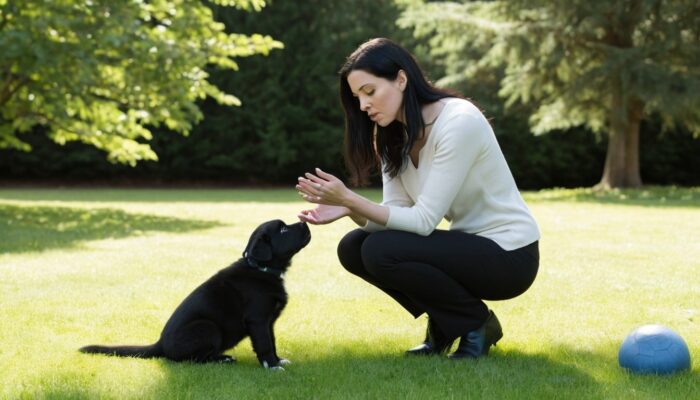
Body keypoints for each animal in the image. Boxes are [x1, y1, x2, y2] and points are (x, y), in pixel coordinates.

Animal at [80, 219, 312, 368]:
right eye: (282, 230)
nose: (304, 222)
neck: (260, 269)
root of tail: (160, 344)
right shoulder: (258, 319)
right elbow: (264, 345)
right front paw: (272, 366)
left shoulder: (269, 321)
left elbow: (272, 342)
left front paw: (279, 360)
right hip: (208, 327)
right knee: (193, 360)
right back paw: (222, 360)